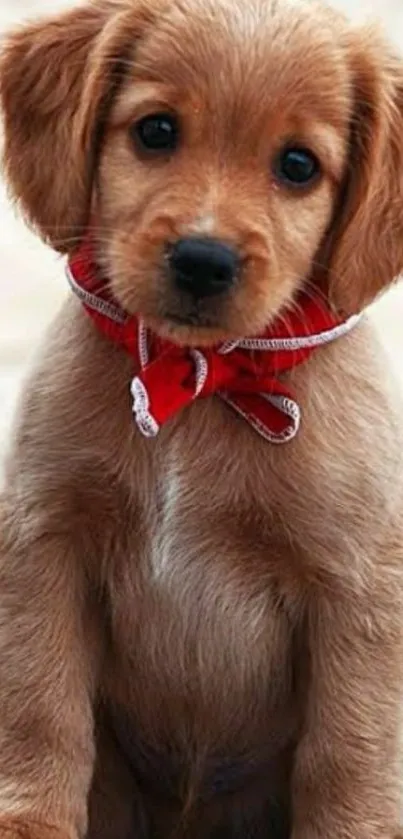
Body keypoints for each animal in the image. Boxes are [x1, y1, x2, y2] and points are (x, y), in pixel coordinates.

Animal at [0, 0, 403, 836]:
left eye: (297, 165)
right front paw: (30, 822)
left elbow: (347, 752)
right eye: (155, 130)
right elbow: (40, 708)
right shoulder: (44, 541)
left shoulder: (355, 591)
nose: (203, 260)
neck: (198, 383)